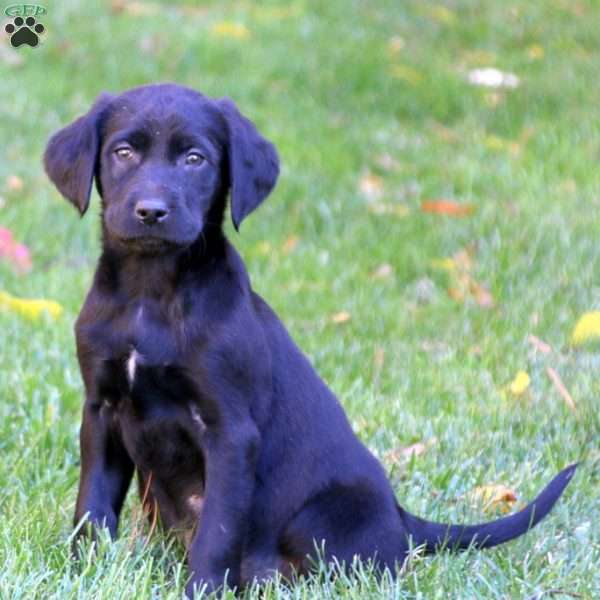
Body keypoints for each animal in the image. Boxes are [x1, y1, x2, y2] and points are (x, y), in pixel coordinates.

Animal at [44, 84, 576, 596]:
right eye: (123, 152)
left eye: (195, 159)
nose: (151, 211)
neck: (149, 295)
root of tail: (402, 518)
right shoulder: (102, 409)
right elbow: (92, 505)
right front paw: (82, 572)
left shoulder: (230, 430)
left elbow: (217, 531)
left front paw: (203, 590)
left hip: (321, 519)